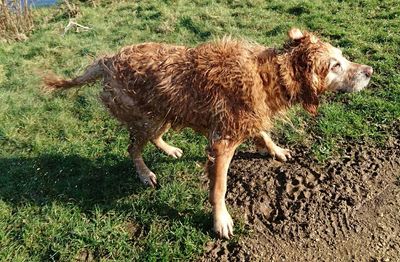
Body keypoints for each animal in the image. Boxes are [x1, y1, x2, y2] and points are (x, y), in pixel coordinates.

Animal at [43, 27, 372, 238]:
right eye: (334, 65)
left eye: (343, 56)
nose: (369, 71)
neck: (268, 77)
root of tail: (107, 61)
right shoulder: (222, 144)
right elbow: (219, 188)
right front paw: (221, 221)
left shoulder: (249, 120)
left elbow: (263, 135)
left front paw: (276, 150)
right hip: (148, 117)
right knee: (133, 148)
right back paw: (145, 174)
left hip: (165, 112)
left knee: (150, 139)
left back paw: (170, 150)